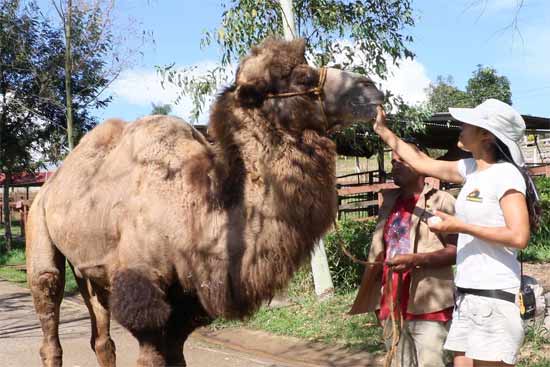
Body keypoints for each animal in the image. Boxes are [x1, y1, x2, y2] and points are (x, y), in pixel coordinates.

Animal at [25, 38, 384, 367]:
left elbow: (177, 355)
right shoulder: (141, 288)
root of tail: (49, 184)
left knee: (101, 338)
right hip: (38, 226)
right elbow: (152, 354)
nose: (373, 87)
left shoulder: (189, 299)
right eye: (302, 77)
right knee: (48, 299)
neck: (195, 207)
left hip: (90, 269)